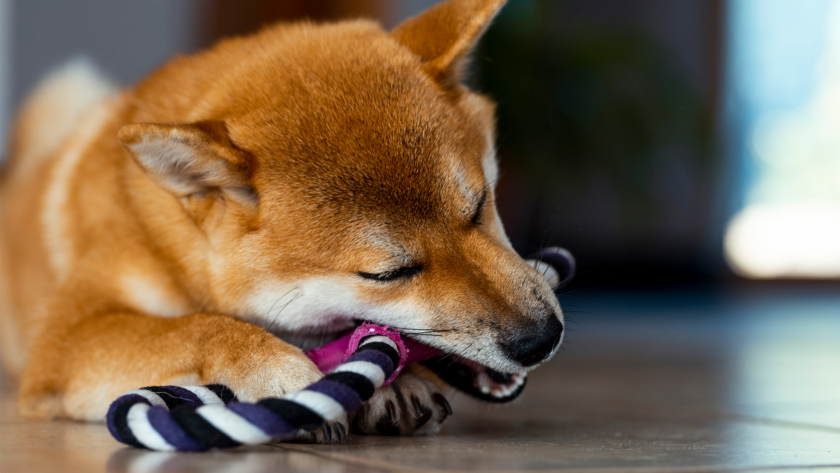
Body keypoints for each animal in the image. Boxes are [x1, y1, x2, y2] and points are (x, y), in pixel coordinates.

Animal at [1, 0, 564, 438]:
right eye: (388, 274)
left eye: (479, 205)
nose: (541, 338)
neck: (163, 244)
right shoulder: (64, 340)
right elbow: (195, 327)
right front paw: (284, 371)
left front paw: (393, 386)